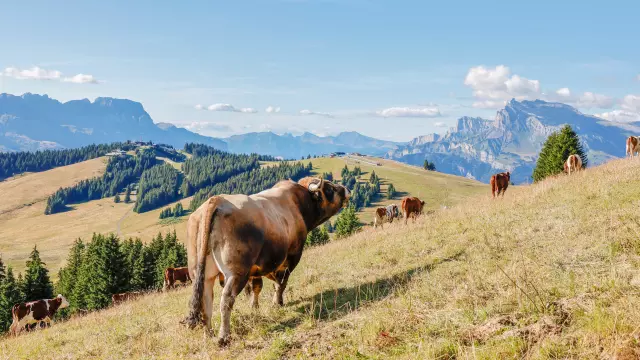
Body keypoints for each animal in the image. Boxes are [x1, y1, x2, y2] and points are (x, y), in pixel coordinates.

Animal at [182, 177, 348, 346]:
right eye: (329, 188)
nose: (344, 189)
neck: (299, 205)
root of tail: (215, 200)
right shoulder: (291, 257)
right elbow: (281, 283)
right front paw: (277, 303)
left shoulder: (255, 269)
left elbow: (256, 287)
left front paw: (254, 308)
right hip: (236, 273)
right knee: (226, 300)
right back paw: (224, 336)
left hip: (203, 274)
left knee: (205, 302)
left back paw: (208, 335)